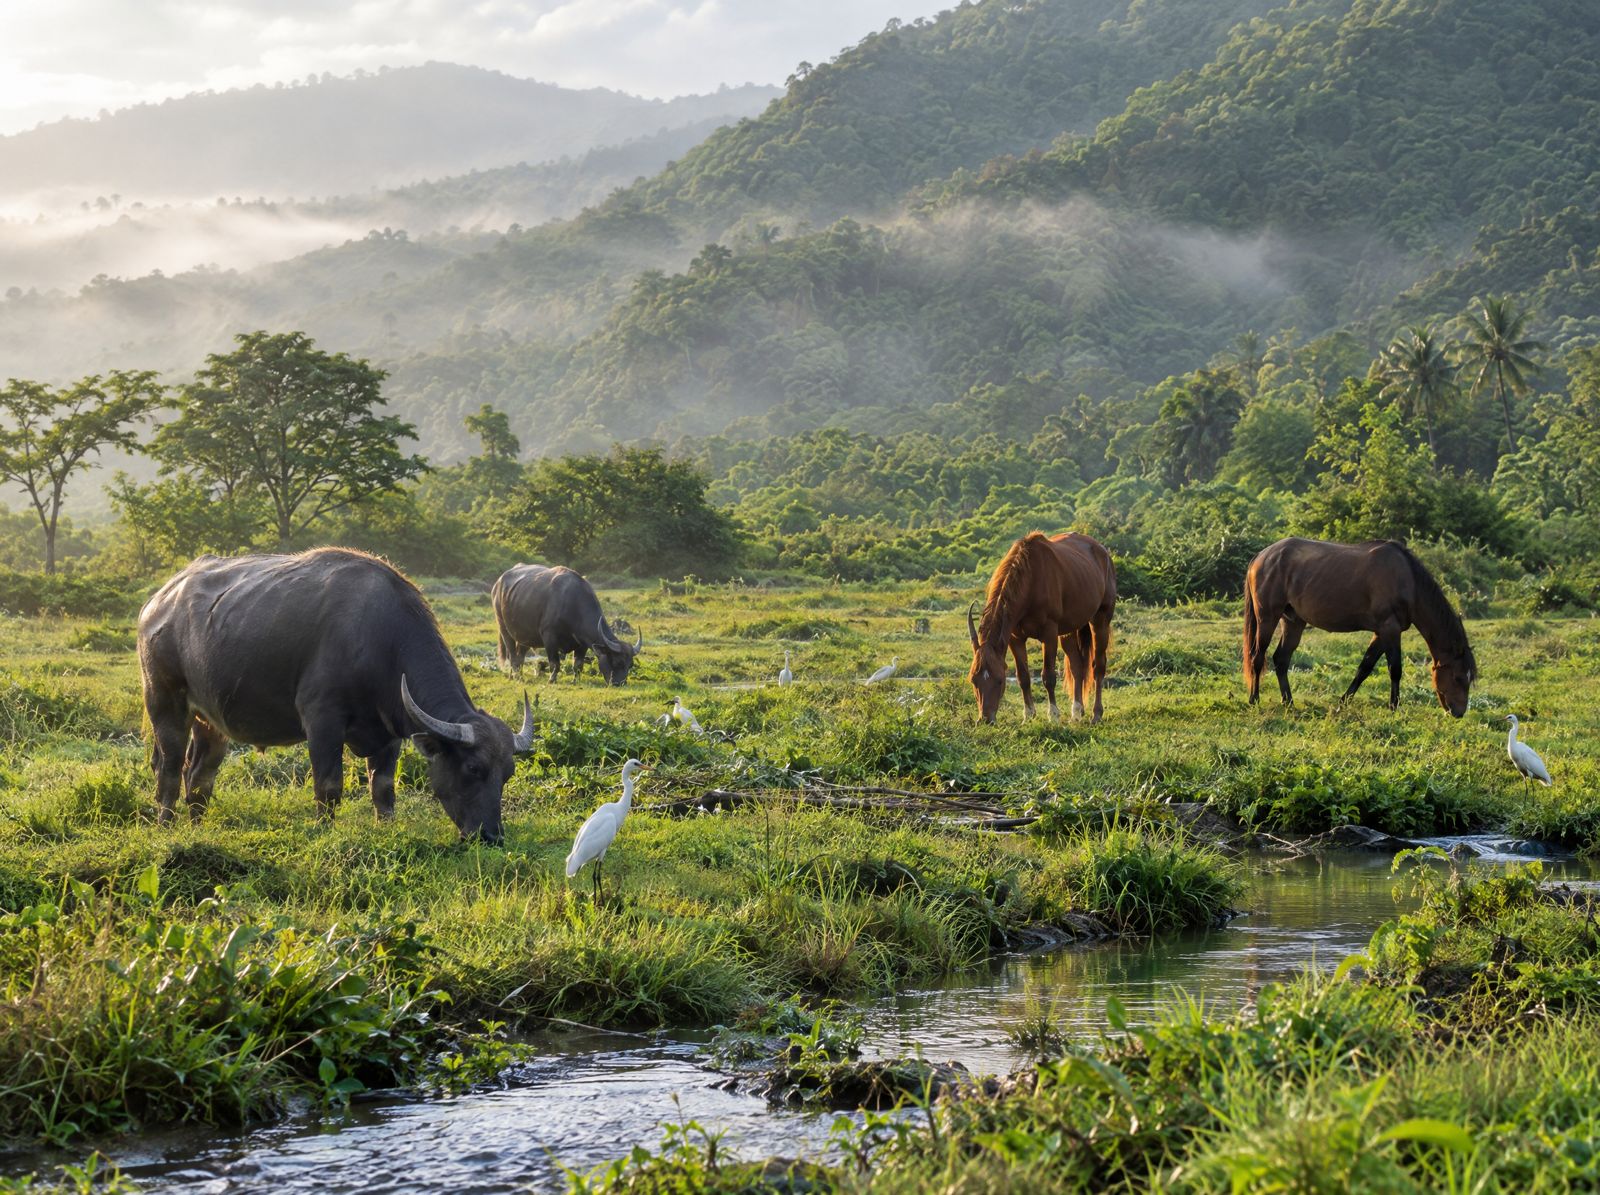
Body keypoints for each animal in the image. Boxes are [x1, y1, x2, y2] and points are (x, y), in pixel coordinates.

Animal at [137, 548, 533, 842]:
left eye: (508, 773)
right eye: (473, 767)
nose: (492, 837)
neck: (379, 640)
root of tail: (157, 603)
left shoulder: (389, 730)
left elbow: (383, 789)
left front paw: (385, 827)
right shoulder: (322, 719)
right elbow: (328, 786)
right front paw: (324, 828)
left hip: (210, 719)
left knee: (200, 773)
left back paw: (196, 826)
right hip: (164, 701)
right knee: (169, 766)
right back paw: (165, 824)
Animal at [492, 564, 642, 685]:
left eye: (630, 665)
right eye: (617, 662)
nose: (620, 683)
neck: (573, 604)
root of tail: (498, 583)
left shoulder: (582, 643)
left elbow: (578, 665)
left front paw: (576, 681)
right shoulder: (549, 638)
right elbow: (555, 663)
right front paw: (552, 679)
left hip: (525, 635)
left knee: (520, 655)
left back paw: (516, 676)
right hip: (503, 626)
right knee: (512, 654)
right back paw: (517, 676)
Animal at [968, 532, 1117, 725]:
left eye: (1000, 680)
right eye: (973, 679)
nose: (985, 719)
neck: (1031, 578)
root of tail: (1103, 552)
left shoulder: (1049, 633)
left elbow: (1048, 676)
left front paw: (1053, 716)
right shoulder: (1015, 638)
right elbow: (1023, 677)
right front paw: (1028, 716)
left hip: (1101, 620)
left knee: (1098, 665)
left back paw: (1096, 714)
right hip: (1069, 629)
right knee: (1077, 666)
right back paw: (1076, 712)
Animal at [1242, 537, 1476, 717]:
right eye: (1458, 677)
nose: (1458, 713)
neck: (1408, 581)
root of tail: (1260, 557)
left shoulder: (1382, 632)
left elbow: (1364, 668)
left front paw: (1342, 703)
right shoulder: (1389, 629)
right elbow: (1395, 670)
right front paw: (1394, 708)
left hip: (1293, 621)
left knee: (1281, 660)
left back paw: (1288, 702)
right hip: (1267, 617)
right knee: (1257, 656)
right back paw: (1254, 700)